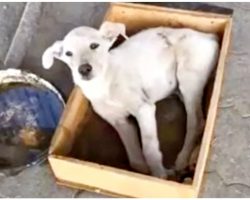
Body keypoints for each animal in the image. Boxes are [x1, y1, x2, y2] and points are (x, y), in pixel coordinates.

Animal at [41, 21, 219, 178]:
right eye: (68, 53)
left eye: (94, 45)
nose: (84, 69)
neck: (104, 84)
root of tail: (209, 36)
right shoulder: (120, 122)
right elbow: (136, 161)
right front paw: (149, 170)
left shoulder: (144, 109)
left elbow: (149, 148)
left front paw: (159, 175)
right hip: (180, 88)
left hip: (188, 79)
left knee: (196, 122)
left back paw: (183, 159)